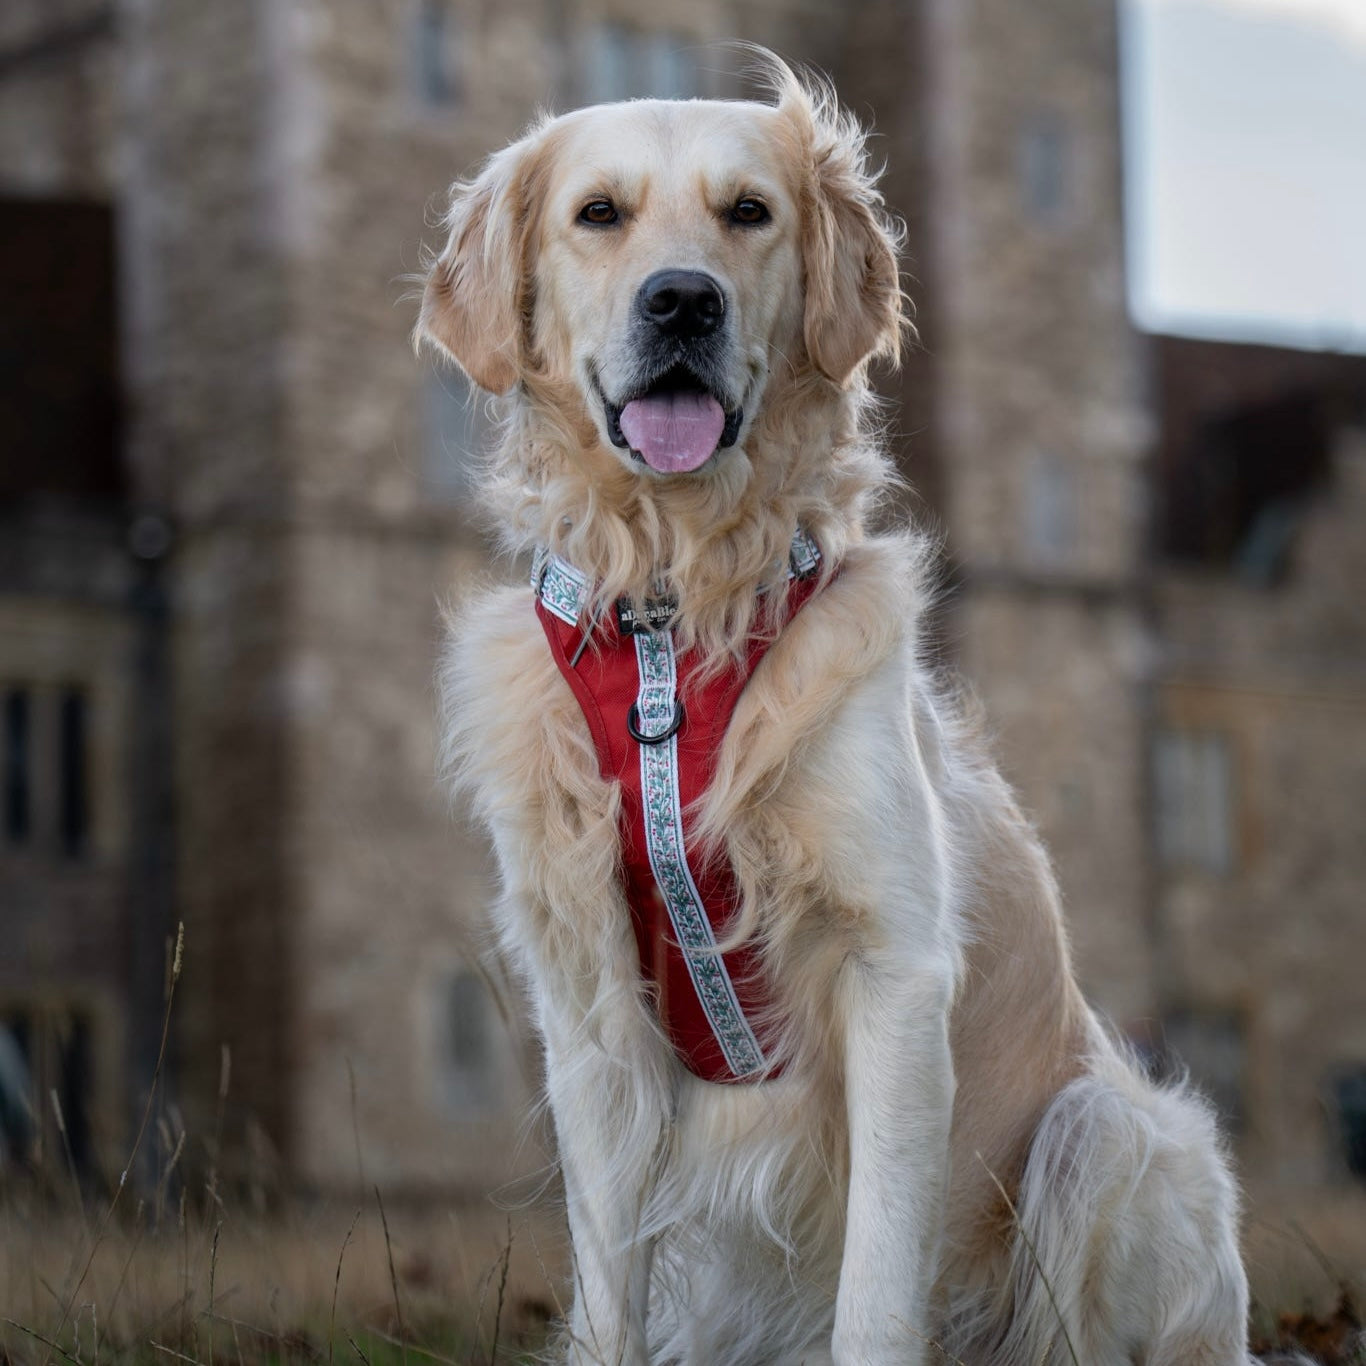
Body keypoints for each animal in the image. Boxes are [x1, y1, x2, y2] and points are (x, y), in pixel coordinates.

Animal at [417, 58, 1256, 1366]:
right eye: (598, 213)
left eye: (748, 212)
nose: (682, 302)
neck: (675, 615)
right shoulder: (589, 1003)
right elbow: (607, 1282)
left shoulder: (894, 970)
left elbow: (875, 1283)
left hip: (1103, 1132)